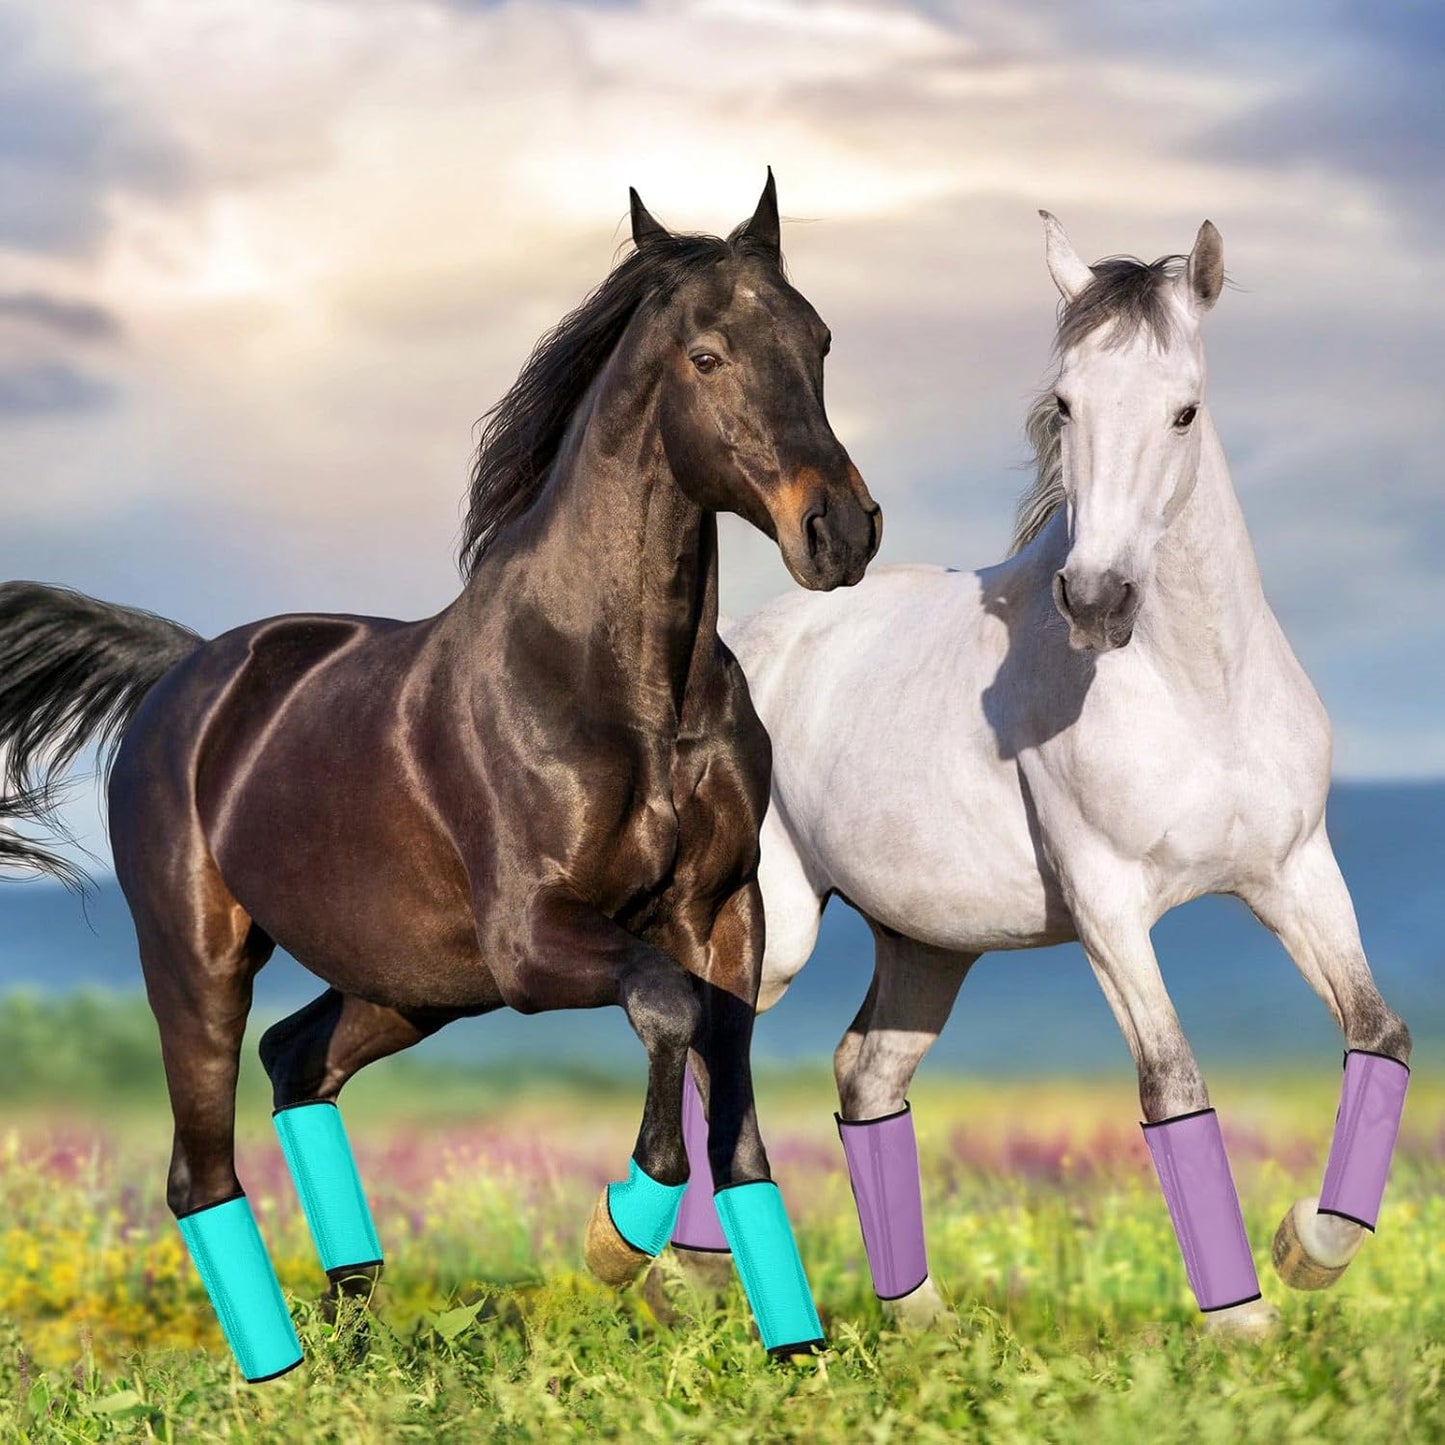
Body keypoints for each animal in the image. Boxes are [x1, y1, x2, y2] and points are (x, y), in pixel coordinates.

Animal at [0, 173, 881, 1380]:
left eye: (819, 339)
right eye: (706, 355)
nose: (840, 530)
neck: (622, 685)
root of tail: (183, 672)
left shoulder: (719, 916)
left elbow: (733, 1105)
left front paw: (797, 1355)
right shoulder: (533, 937)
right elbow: (663, 1011)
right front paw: (617, 1236)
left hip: (409, 983)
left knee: (298, 1061)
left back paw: (355, 1337)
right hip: (201, 958)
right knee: (200, 1166)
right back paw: (281, 1373)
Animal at [663, 213, 1411, 1336]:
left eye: (1184, 408)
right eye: (1064, 403)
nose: (1096, 598)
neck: (1196, 691)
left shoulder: (1292, 873)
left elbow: (1379, 1033)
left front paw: (1307, 1246)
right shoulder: (1108, 906)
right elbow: (1171, 1081)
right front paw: (1241, 1320)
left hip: (927, 945)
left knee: (863, 1072)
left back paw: (917, 1317)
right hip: (778, 926)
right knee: (715, 1048)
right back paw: (670, 1264)